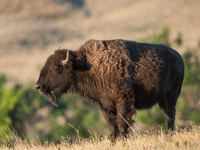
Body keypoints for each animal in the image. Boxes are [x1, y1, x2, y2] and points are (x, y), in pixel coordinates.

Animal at [35, 39, 184, 142]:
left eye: (54, 68)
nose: (38, 86)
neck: (86, 66)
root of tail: (179, 57)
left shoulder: (123, 102)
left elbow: (122, 124)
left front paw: (124, 142)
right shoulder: (105, 106)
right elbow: (112, 128)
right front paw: (113, 143)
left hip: (171, 95)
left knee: (170, 115)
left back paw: (169, 135)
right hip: (163, 100)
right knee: (170, 114)